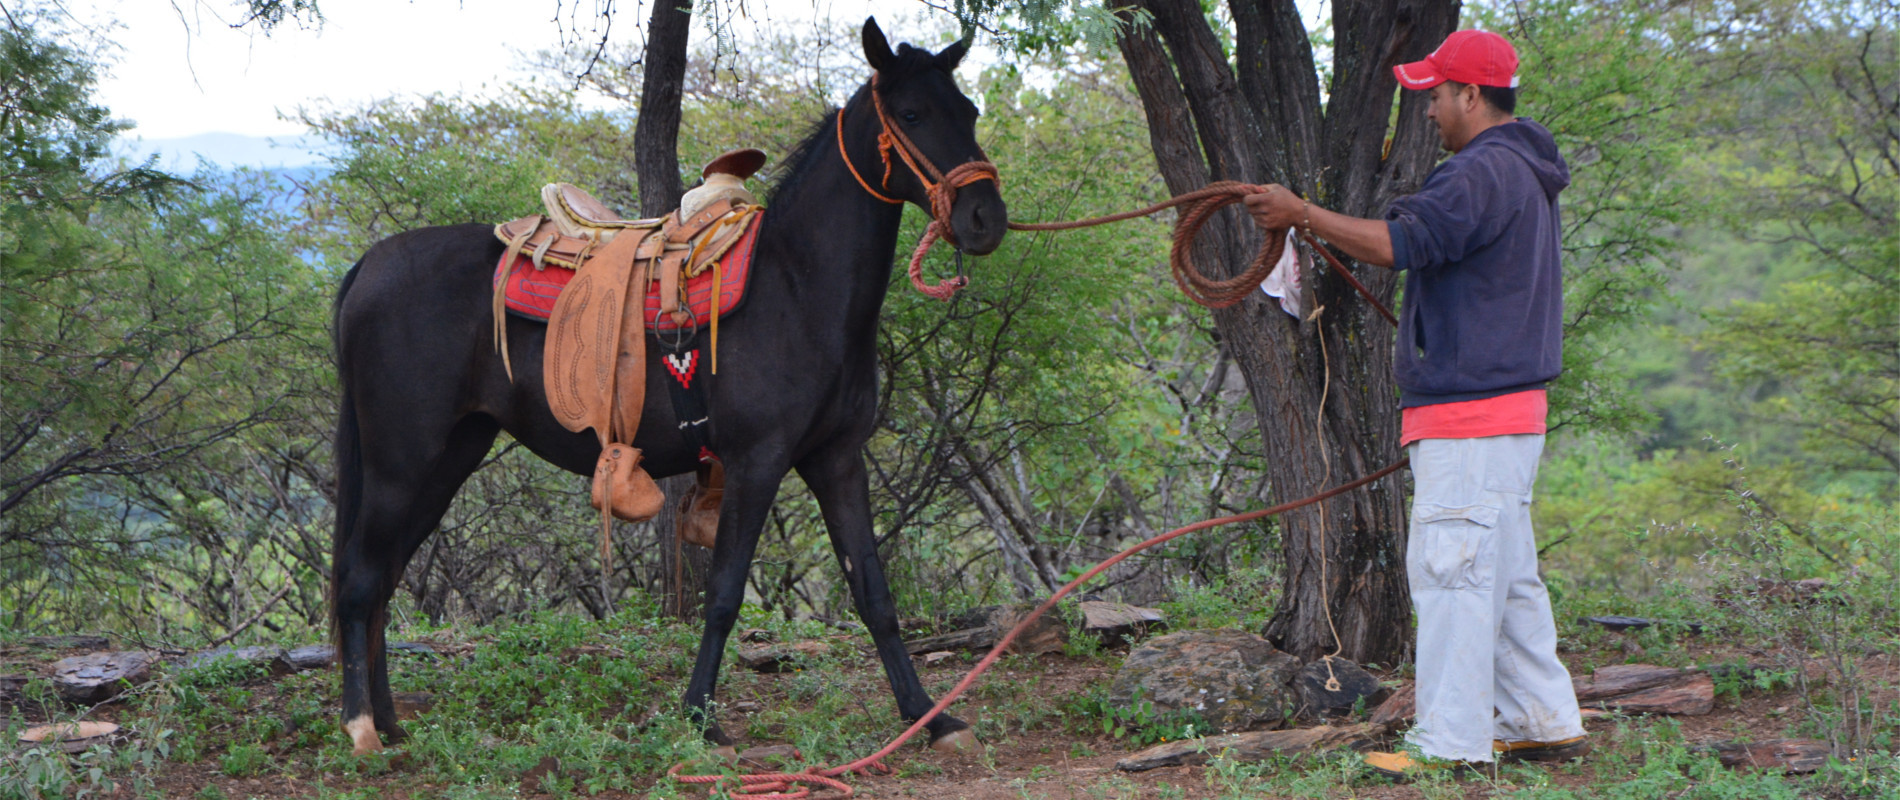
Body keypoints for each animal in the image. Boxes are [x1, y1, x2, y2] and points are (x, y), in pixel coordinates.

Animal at [328, 20, 1010, 756]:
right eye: (911, 114)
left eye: (969, 110)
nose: (985, 217)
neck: (795, 286)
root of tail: (367, 267)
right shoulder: (756, 462)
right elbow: (724, 595)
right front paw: (701, 718)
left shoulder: (836, 459)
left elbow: (875, 596)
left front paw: (932, 718)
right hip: (401, 462)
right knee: (362, 578)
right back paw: (361, 728)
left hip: (449, 456)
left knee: (384, 575)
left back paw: (390, 723)